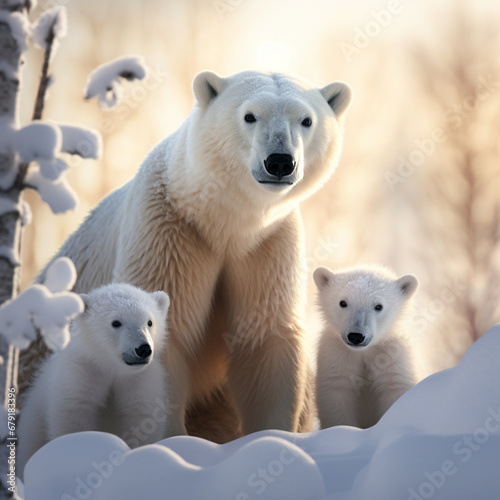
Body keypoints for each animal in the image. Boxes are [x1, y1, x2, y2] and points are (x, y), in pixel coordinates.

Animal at [34, 71, 352, 442]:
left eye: (306, 120)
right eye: (249, 115)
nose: (280, 161)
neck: (223, 223)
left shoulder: (266, 245)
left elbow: (265, 338)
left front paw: (270, 436)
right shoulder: (169, 232)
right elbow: (169, 334)